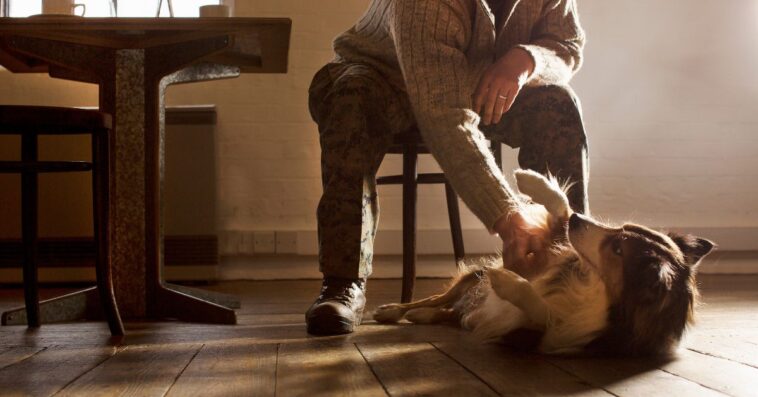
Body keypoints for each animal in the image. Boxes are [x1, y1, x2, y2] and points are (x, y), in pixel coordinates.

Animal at [378, 170, 716, 356]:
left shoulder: (533, 336)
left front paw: (507, 282)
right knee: (436, 298)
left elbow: (541, 311)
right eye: (621, 228)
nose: (580, 219)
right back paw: (396, 309)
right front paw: (531, 180)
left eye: (618, 249)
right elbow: (560, 210)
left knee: (447, 311)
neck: (593, 284)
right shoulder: (543, 254)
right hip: (471, 276)